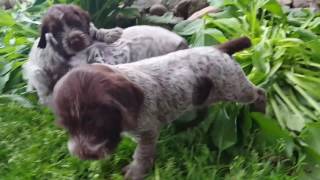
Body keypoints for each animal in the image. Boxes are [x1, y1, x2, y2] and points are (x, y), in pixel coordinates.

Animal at [53, 37, 268, 179]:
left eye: (96, 123)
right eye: (67, 127)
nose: (83, 155)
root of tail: (217, 49)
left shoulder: (147, 131)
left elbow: (141, 155)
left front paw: (135, 172)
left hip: (235, 87)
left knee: (259, 92)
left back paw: (261, 109)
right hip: (207, 95)